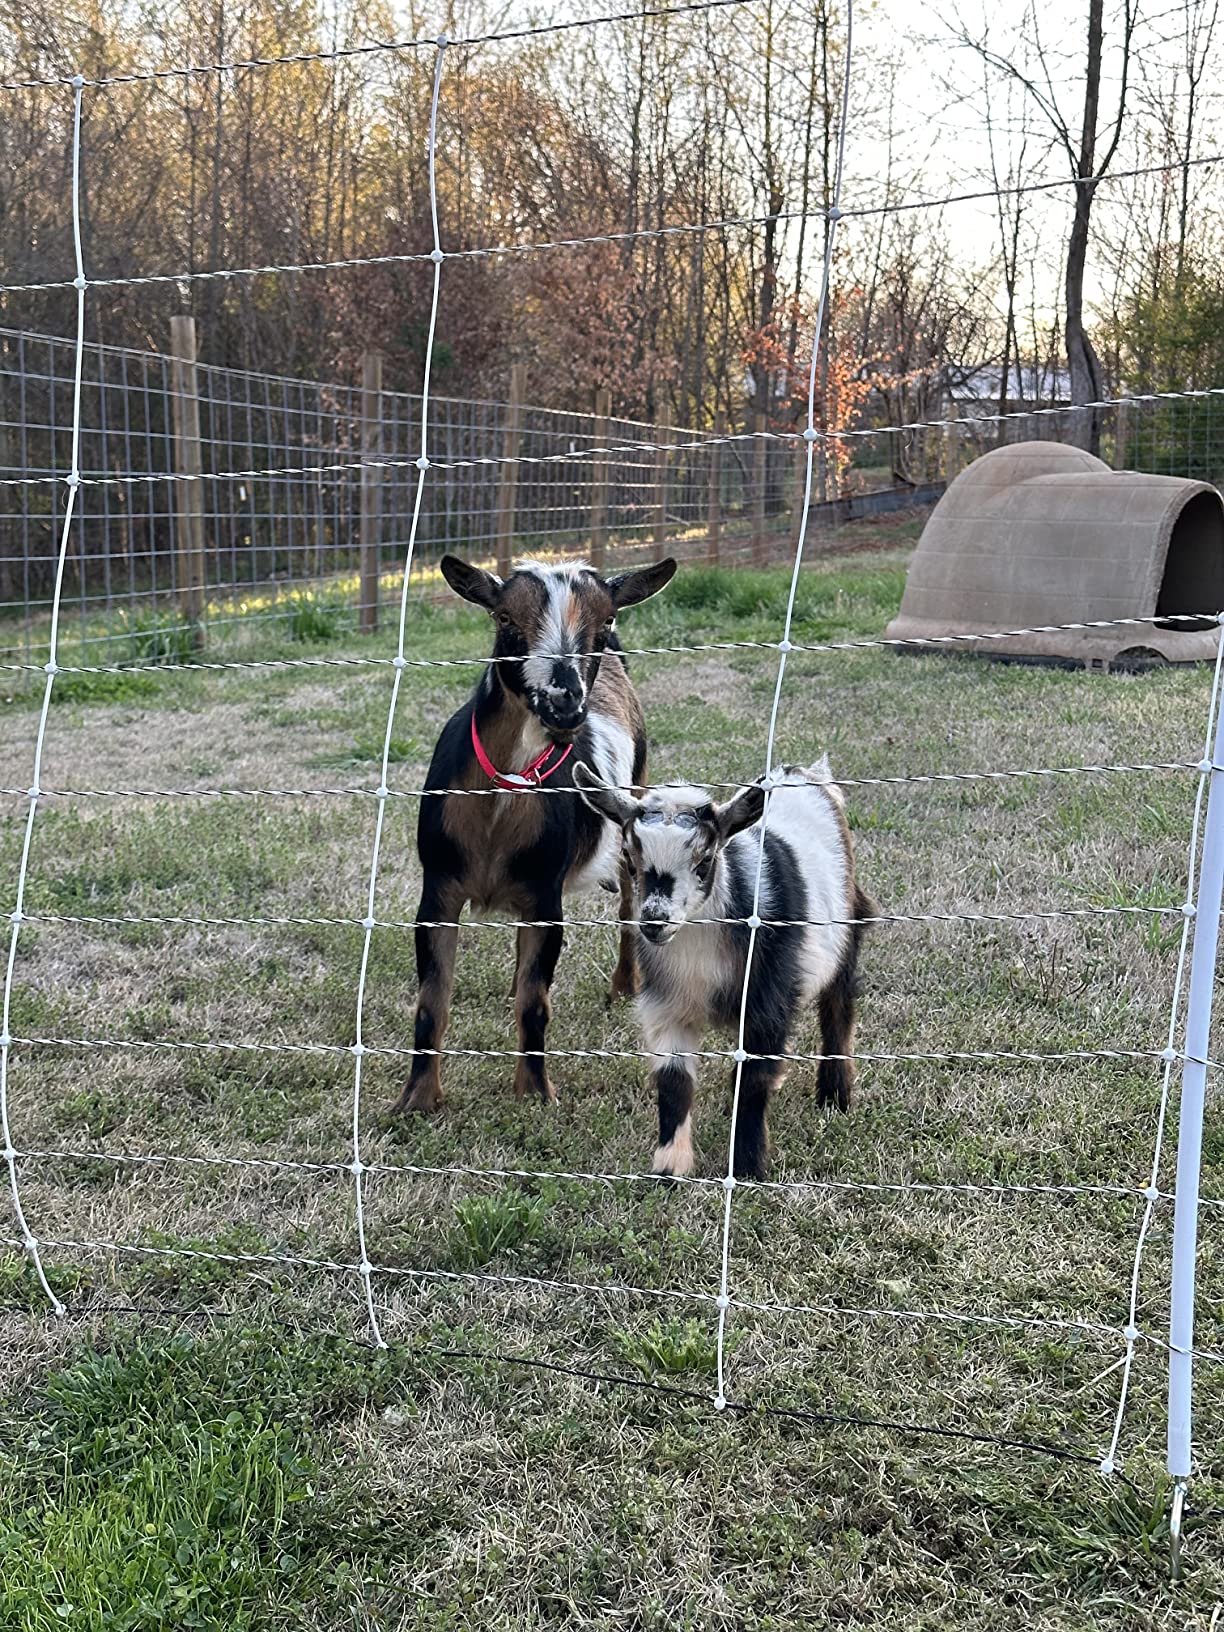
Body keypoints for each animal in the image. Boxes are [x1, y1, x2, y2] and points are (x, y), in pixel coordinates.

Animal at [393, 552, 676, 1115]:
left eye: (604, 620)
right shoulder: (437, 890)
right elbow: (432, 1000)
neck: (502, 797)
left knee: (629, 904)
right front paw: (416, 1100)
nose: (563, 704)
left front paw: (535, 1093)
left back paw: (625, 985)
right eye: (505, 618)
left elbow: (534, 1001)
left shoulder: (545, 900)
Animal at [574, 758, 872, 1178]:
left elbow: (752, 1079)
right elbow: (674, 1081)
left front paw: (747, 1167)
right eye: (630, 861)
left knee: (838, 1005)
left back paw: (835, 1095)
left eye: (704, 860)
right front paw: (669, 1169)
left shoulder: (767, 1002)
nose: (654, 922)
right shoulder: (666, 1005)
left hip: (848, 928)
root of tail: (806, 772)